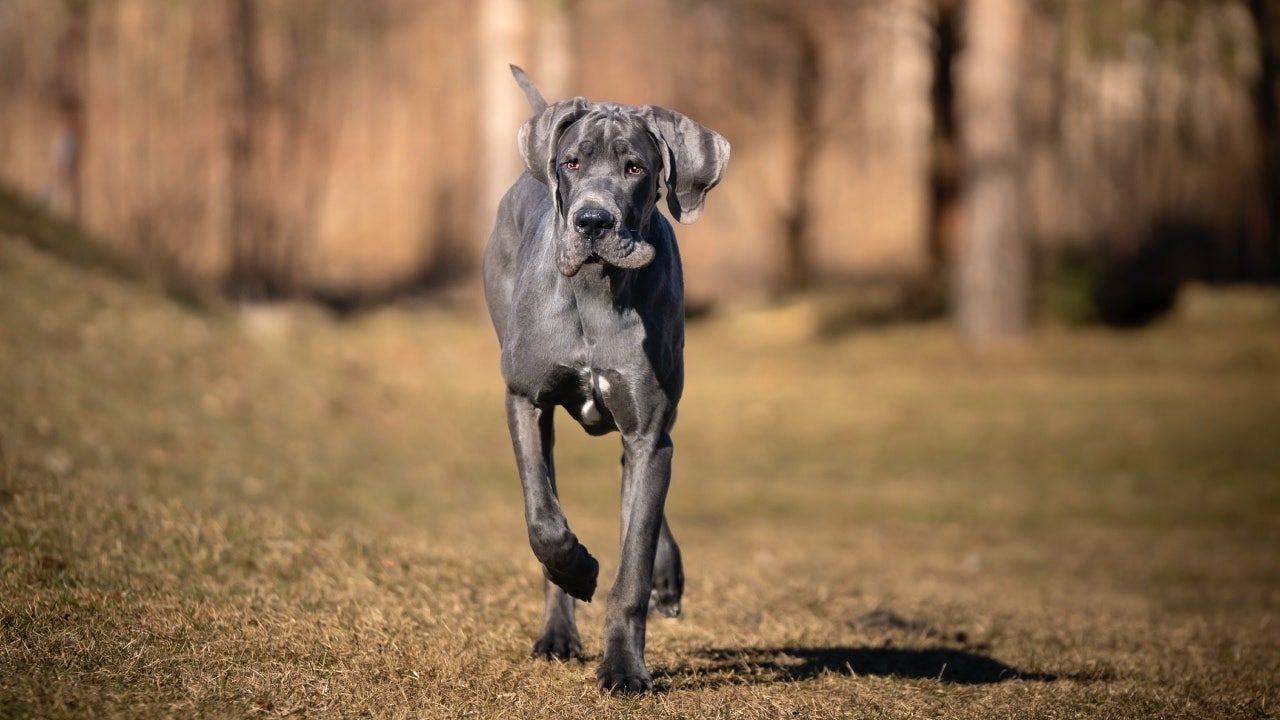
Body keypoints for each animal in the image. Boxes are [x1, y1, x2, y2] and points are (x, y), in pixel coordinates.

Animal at [481, 65, 727, 691]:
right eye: (572, 162)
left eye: (635, 167)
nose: (592, 220)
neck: (595, 290)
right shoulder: (524, 400)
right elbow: (544, 520)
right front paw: (580, 570)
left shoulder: (648, 430)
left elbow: (633, 561)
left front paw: (623, 666)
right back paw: (557, 632)